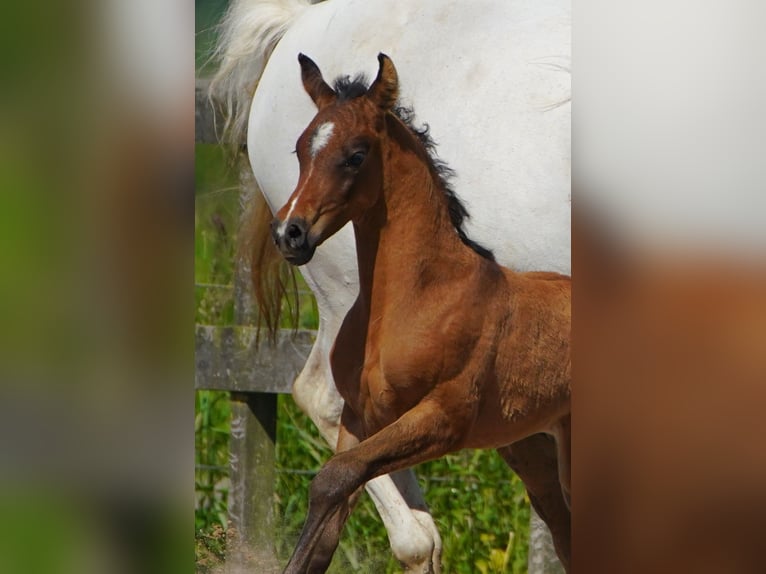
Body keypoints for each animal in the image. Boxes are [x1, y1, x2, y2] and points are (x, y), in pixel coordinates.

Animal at [272, 53, 568, 572]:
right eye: (300, 149)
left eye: (356, 154)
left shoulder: (442, 419)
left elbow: (334, 476)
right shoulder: (359, 421)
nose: (290, 233)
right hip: (534, 448)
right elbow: (328, 509)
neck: (414, 297)